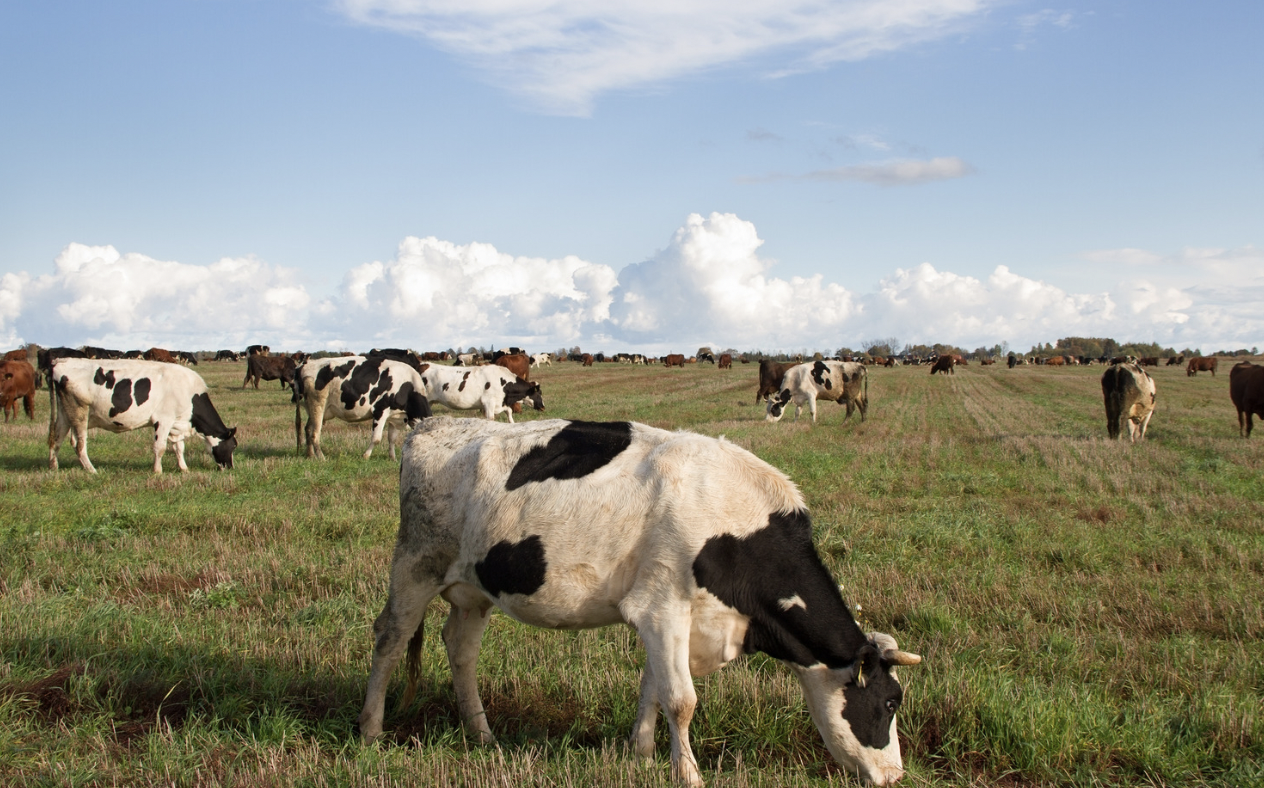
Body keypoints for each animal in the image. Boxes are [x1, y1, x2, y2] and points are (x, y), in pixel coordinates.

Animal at [48, 358, 236, 473]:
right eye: (233, 446)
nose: (230, 467)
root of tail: (60, 362)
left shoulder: (176, 424)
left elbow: (179, 448)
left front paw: (184, 468)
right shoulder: (163, 420)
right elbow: (160, 447)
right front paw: (158, 471)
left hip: (64, 414)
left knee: (56, 439)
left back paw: (54, 468)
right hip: (80, 412)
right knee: (79, 444)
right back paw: (92, 470)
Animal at [293, 355, 433, 459]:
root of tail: (305, 364)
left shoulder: (395, 416)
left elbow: (392, 438)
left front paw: (392, 457)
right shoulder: (380, 410)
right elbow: (376, 438)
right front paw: (366, 455)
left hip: (312, 408)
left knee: (307, 429)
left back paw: (310, 455)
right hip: (318, 404)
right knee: (315, 434)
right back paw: (321, 457)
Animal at [358, 418, 920, 787]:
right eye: (890, 702)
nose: (895, 776)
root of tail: (432, 424)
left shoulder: (668, 617)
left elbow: (652, 688)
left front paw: (643, 753)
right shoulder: (661, 606)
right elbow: (681, 698)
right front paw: (688, 774)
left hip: (474, 590)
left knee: (461, 648)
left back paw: (481, 735)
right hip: (416, 564)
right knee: (390, 638)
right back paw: (370, 730)